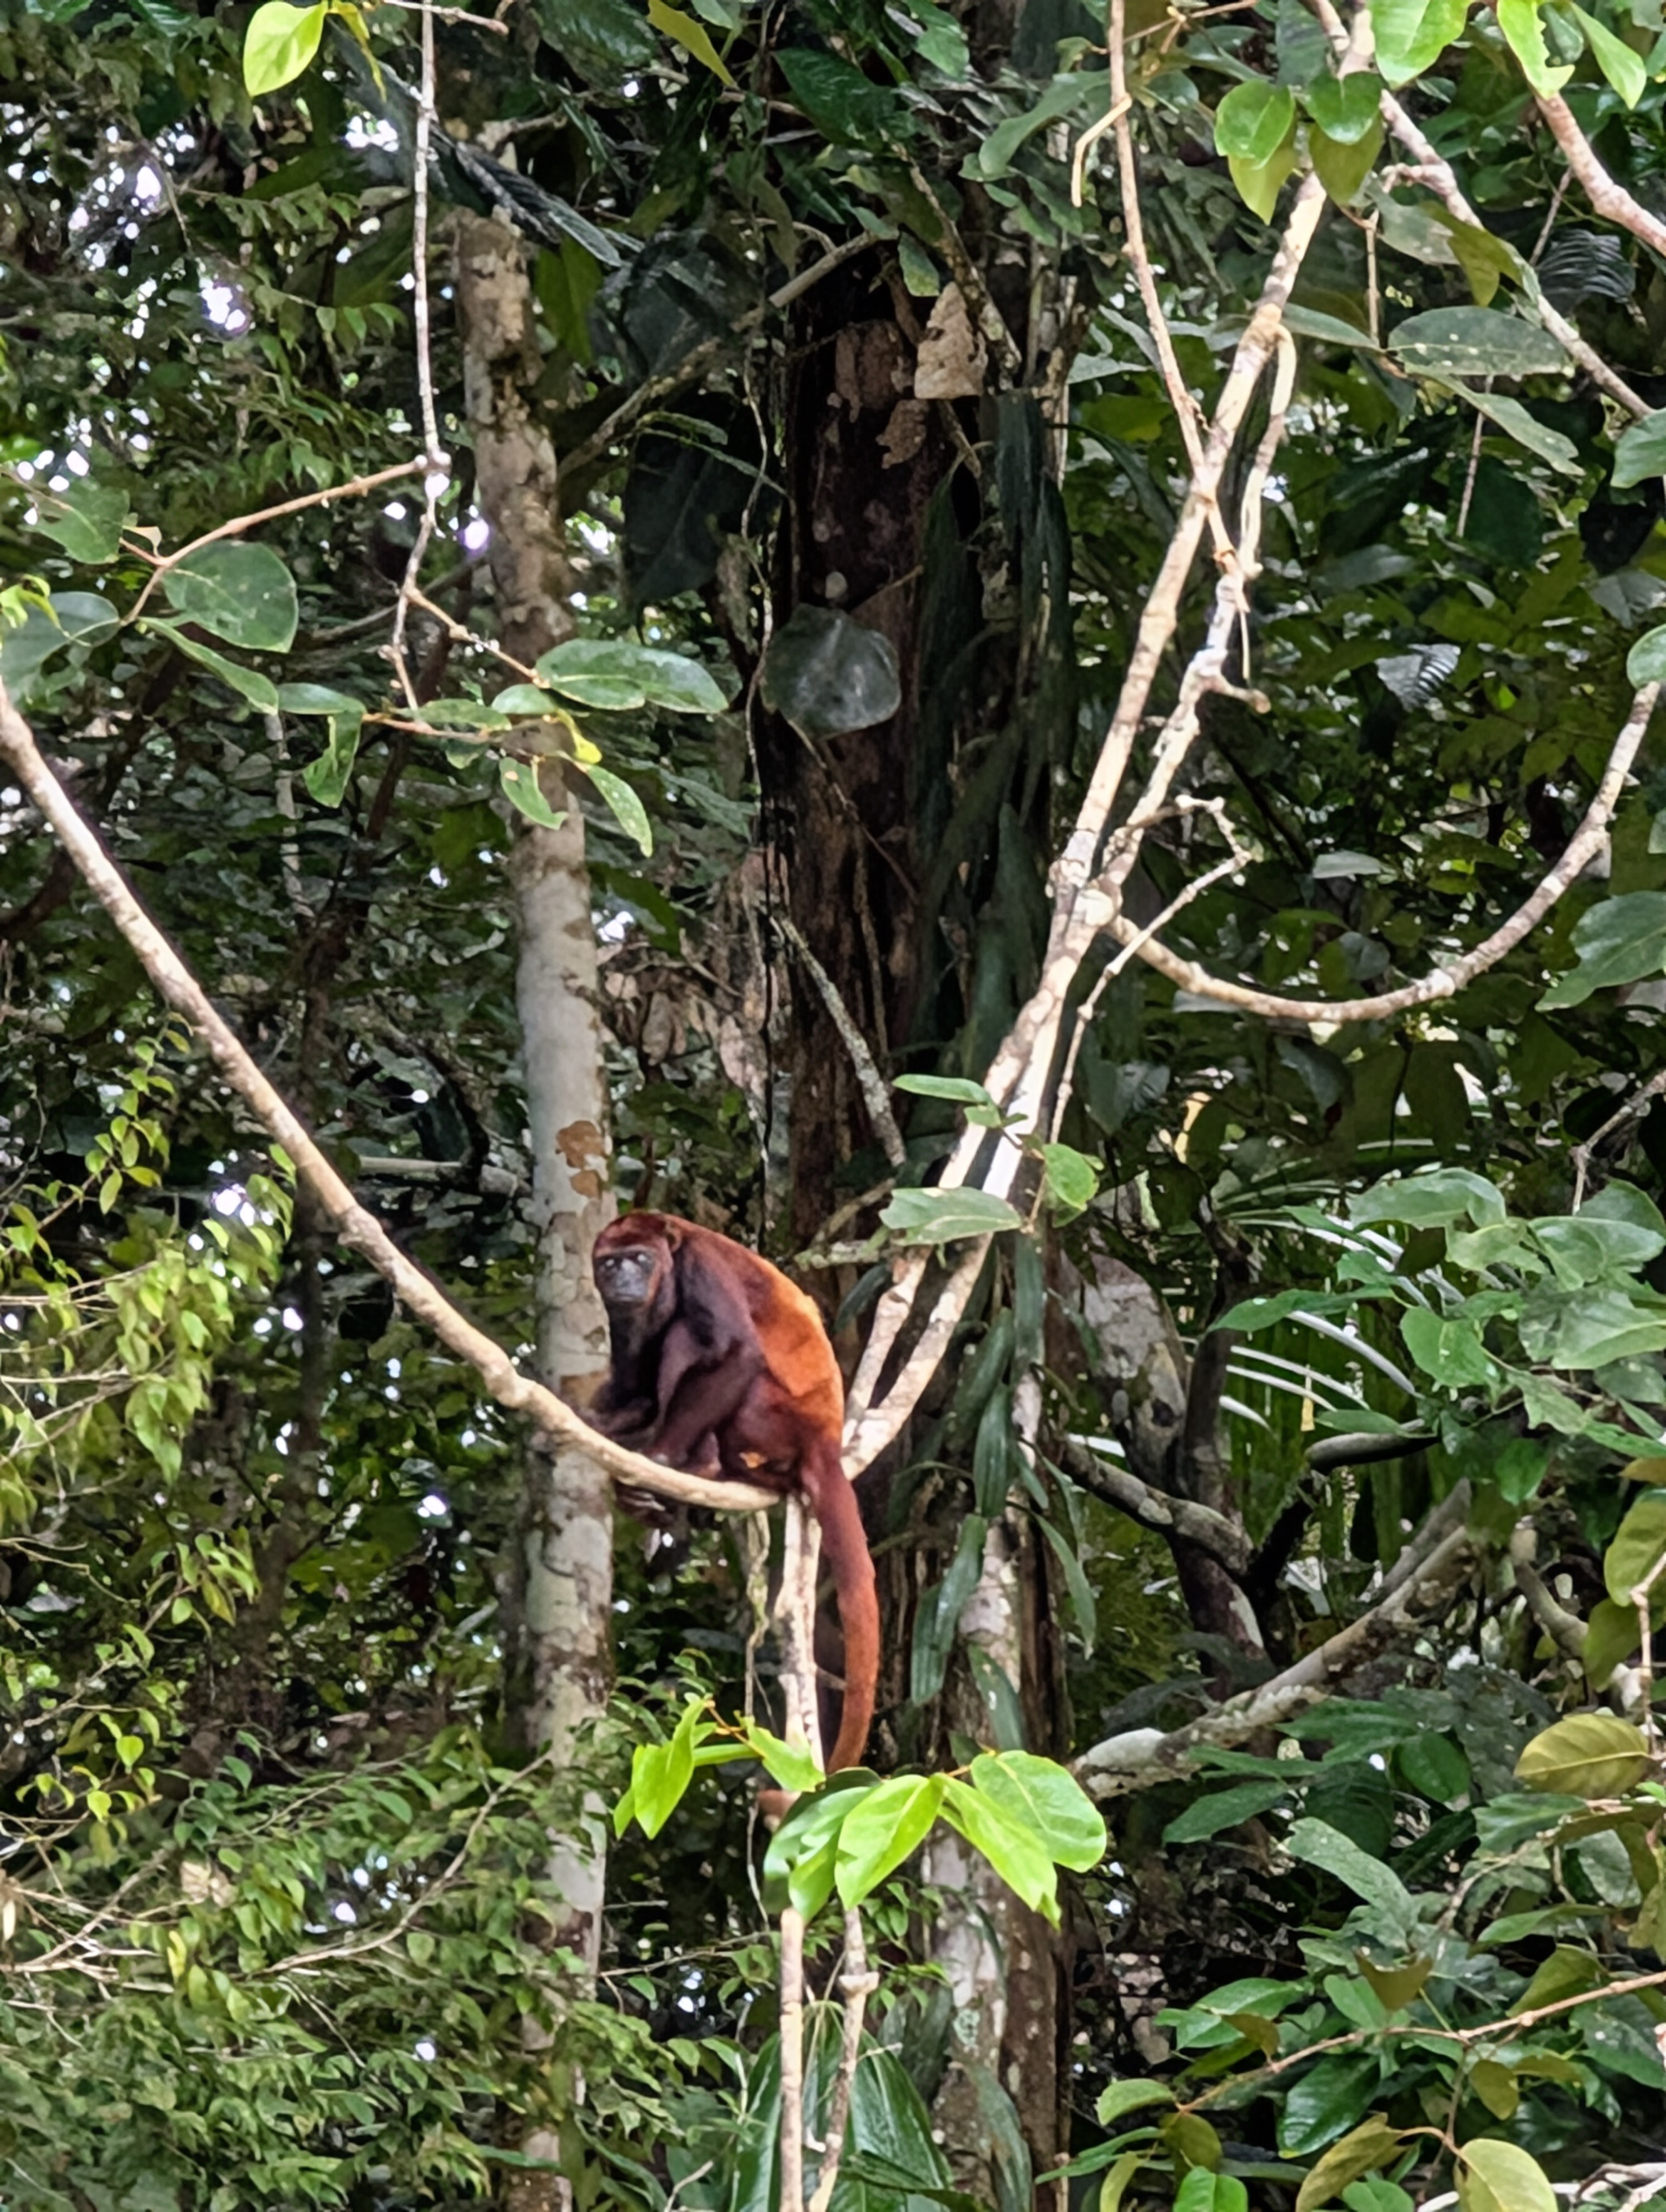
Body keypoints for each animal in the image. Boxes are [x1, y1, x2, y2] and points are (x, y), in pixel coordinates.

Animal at [587, 1212, 878, 1775]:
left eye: (640, 1259)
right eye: (610, 1264)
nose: (624, 1281)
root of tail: (825, 1440)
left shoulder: (703, 1266)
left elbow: (736, 1352)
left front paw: (659, 1462)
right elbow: (634, 1392)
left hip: (770, 1418)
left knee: (688, 1337)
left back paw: (699, 1466)